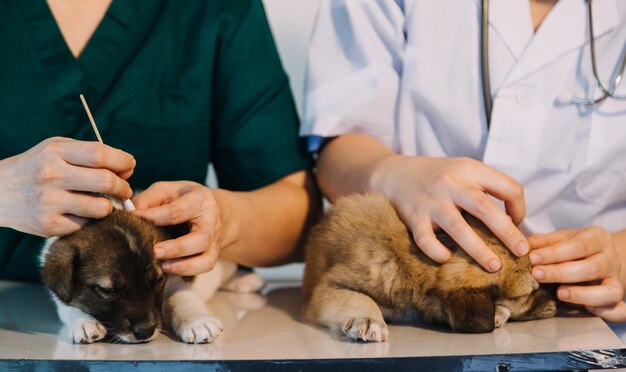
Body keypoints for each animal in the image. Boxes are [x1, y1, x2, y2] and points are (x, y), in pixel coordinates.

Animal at [39, 208, 264, 344]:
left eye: (156, 281)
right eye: (108, 290)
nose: (145, 331)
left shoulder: (174, 279)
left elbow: (183, 299)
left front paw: (198, 322)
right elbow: (68, 308)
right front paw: (84, 322)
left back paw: (246, 280)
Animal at [302, 193, 556, 342]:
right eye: (530, 291)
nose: (556, 301)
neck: (409, 263)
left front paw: (500, 312)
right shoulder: (329, 285)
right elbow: (357, 297)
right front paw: (366, 319)